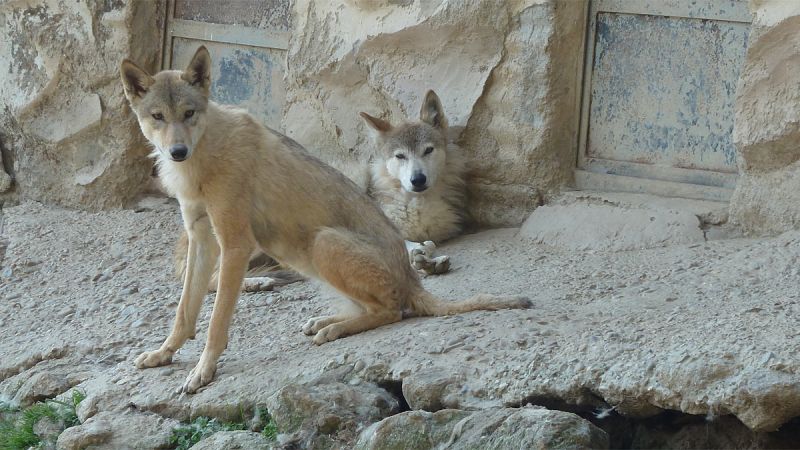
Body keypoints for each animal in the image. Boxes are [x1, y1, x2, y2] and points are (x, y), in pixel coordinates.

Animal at [120, 46, 531, 393]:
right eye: (158, 117)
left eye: (189, 114)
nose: (176, 151)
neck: (202, 159)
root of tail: (412, 281)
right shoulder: (204, 240)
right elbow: (184, 312)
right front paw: (164, 353)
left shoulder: (234, 243)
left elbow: (216, 323)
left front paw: (203, 370)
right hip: (299, 255)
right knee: (378, 306)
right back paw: (325, 320)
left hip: (320, 244)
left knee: (392, 311)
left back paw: (334, 327)